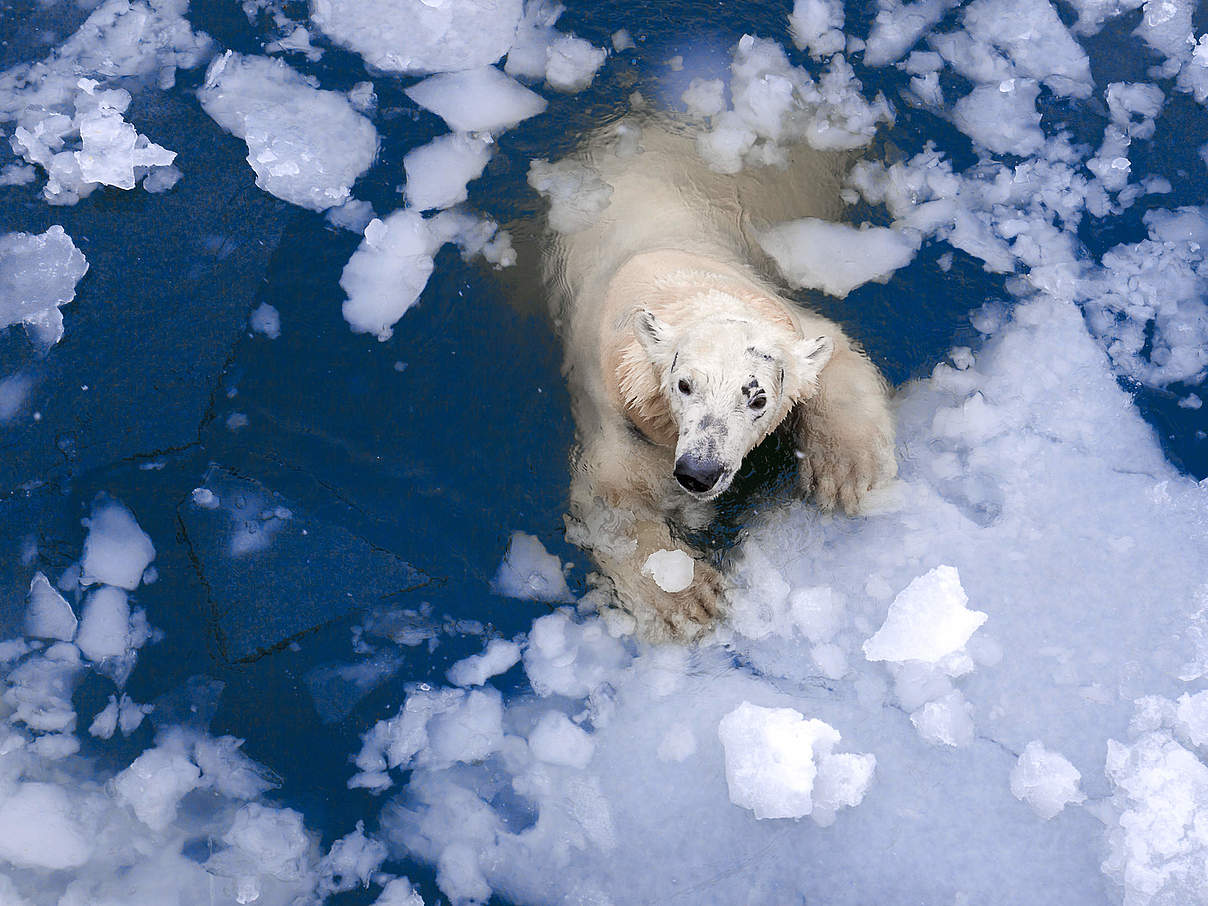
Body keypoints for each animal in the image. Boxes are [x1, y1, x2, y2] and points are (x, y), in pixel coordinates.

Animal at [543, 120, 893, 642]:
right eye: (683, 386)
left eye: (758, 398)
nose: (699, 472)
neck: (673, 281)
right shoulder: (617, 408)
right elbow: (612, 501)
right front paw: (689, 597)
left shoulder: (785, 317)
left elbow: (832, 356)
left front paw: (848, 471)